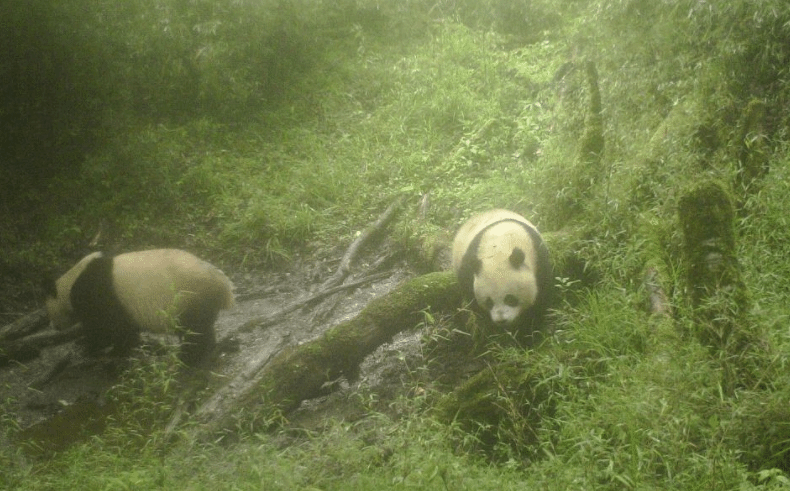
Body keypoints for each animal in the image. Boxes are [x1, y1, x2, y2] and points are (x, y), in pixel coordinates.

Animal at [44, 250, 234, 366]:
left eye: (49, 314)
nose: (53, 326)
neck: (70, 282)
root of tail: (223, 285)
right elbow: (125, 328)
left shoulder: (97, 294)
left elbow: (107, 329)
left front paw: (90, 347)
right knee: (202, 328)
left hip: (186, 297)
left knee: (193, 330)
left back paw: (189, 357)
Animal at [452, 209, 556, 340]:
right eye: (489, 302)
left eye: (510, 299)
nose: (501, 320)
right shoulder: (468, 269)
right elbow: (473, 300)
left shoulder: (539, 257)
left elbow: (541, 297)